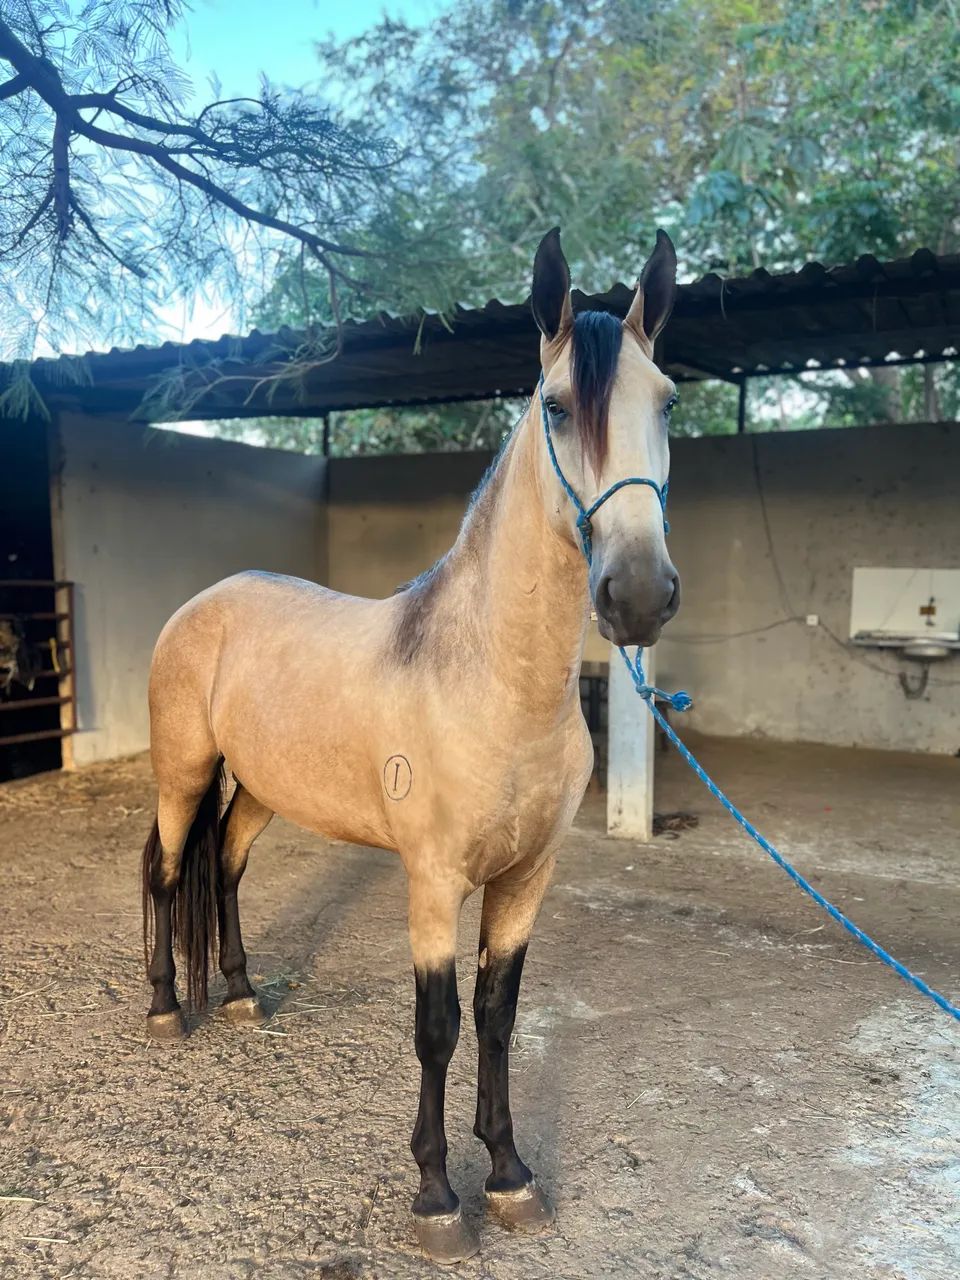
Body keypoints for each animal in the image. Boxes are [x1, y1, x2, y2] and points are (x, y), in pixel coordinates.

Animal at [141, 226, 681, 1264]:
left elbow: (499, 1018)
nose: (637, 595)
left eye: (667, 401)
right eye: (559, 407)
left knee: (223, 868)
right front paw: (436, 1197)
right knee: (167, 868)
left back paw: (240, 995)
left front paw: (509, 1177)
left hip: (262, 788)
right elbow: (438, 1025)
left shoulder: (526, 878)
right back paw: (162, 1009)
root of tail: (202, 603)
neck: (492, 687)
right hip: (183, 774)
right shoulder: (432, 881)